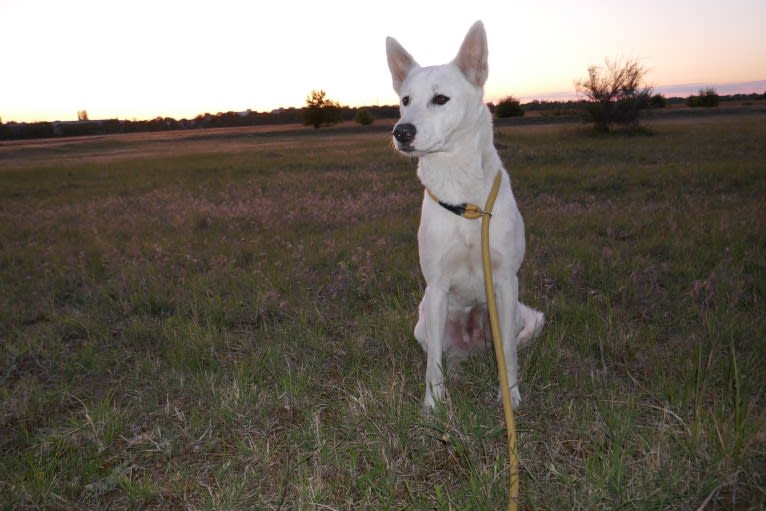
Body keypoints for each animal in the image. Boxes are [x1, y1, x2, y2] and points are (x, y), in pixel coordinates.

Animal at [384, 20, 544, 414]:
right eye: (405, 101)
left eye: (440, 99)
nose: (401, 131)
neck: (463, 197)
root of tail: (471, 347)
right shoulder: (437, 287)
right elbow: (433, 365)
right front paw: (433, 404)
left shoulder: (505, 281)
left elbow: (509, 354)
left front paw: (511, 396)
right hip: (425, 320)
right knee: (443, 355)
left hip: (508, 312)